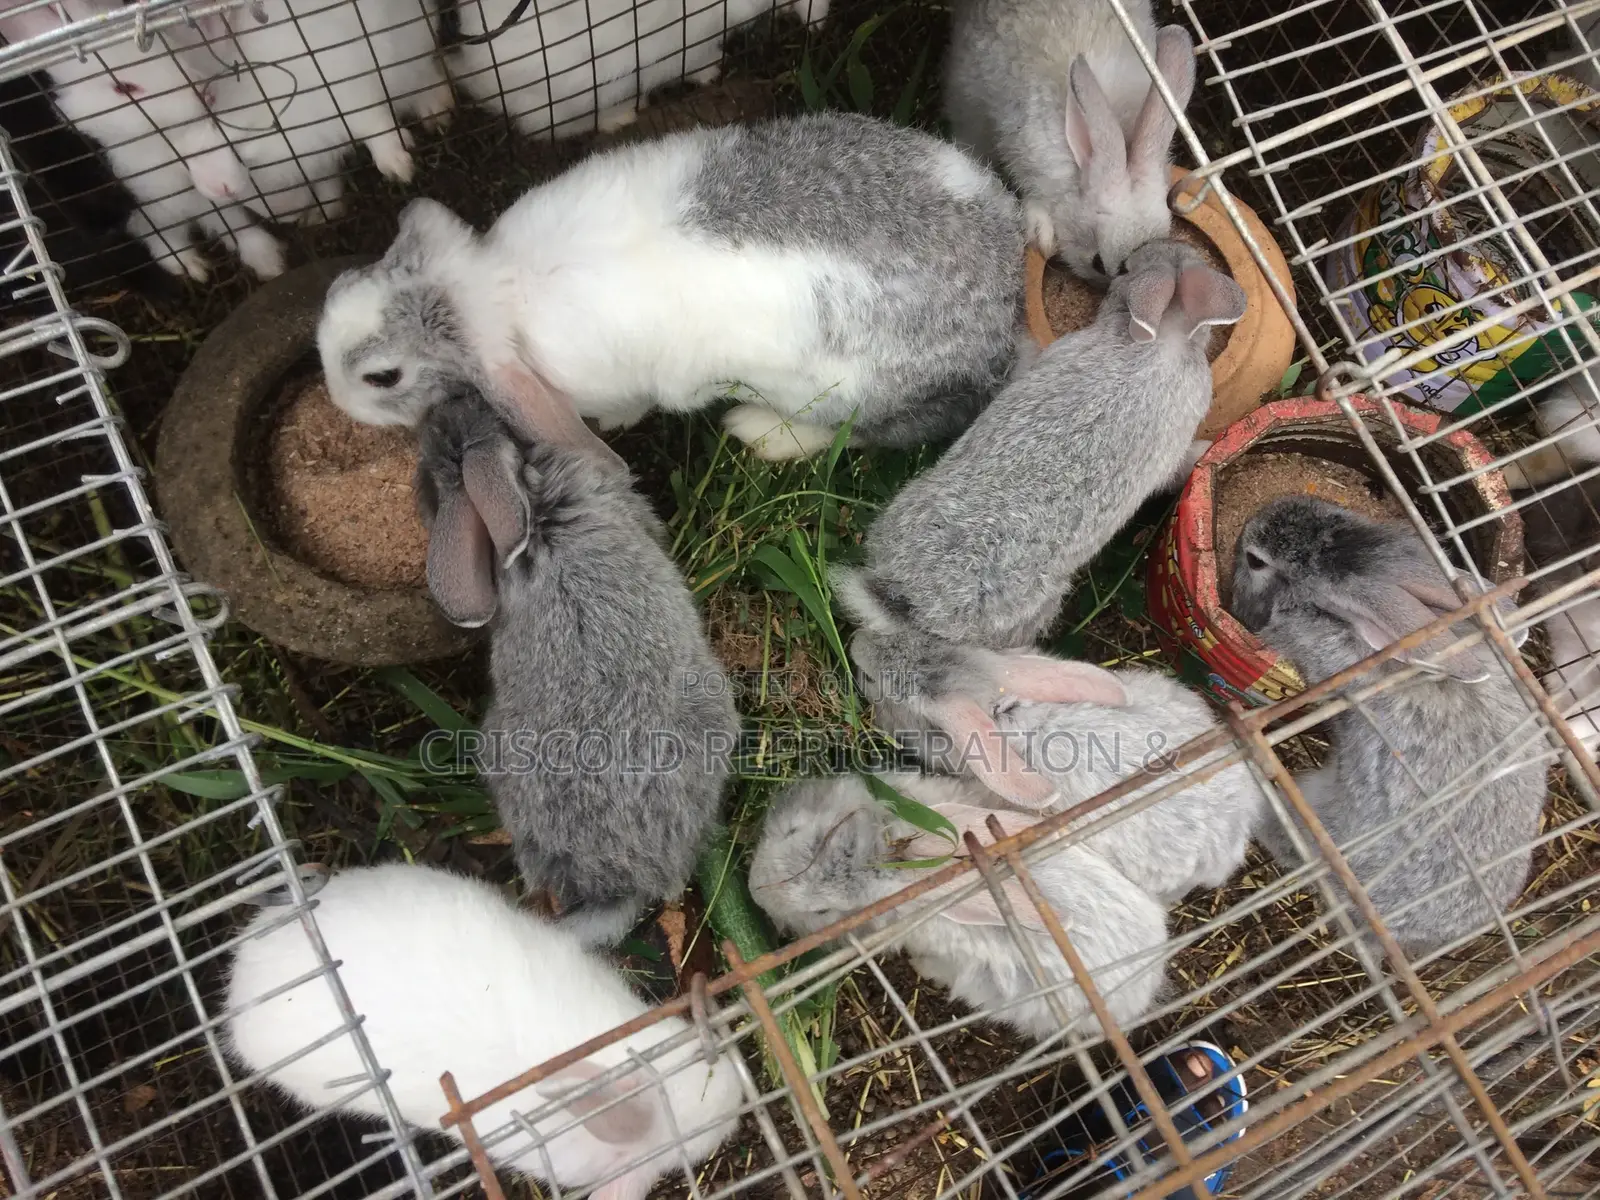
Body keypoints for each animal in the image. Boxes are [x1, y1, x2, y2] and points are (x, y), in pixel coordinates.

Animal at [0, 0, 282, 280]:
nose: (205, 92)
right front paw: (189, 266)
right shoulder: (145, 206)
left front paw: (268, 262)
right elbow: (164, 235)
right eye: (124, 88)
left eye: (171, 47)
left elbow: (232, 219)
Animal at [169, 0, 453, 223]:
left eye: (210, 100)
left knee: (421, 72)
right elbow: (326, 180)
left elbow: (373, 124)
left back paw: (437, 109)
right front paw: (323, 212)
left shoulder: (347, 86)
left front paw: (397, 167)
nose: (216, 188)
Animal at [317, 112, 1026, 459]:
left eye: (383, 377)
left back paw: (762, 433)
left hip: (850, 396)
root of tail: (1006, 299)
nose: (335, 401)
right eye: (337, 286)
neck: (500, 286)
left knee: (870, 433)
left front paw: (611, 424)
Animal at [443, 0, 816, 141]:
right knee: (551, 128)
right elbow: (699, 64)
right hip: (586, 92)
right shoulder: (688, 46)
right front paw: (715, 71)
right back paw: (622, 116)